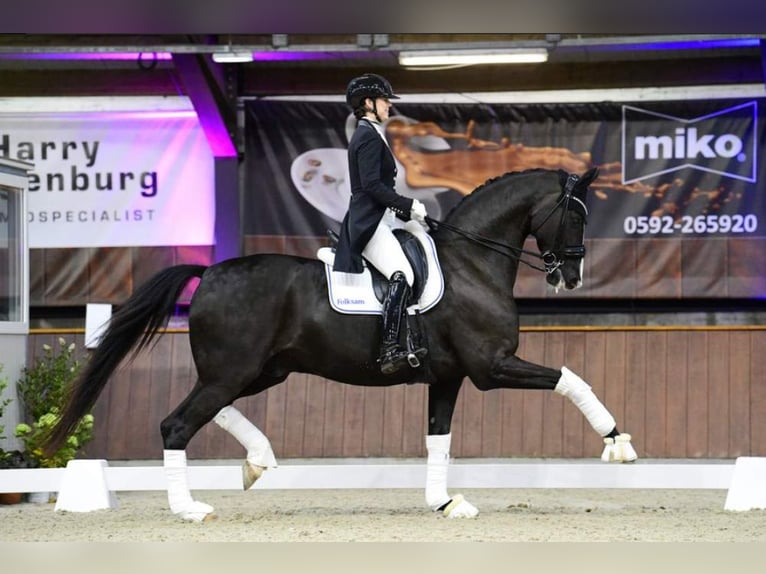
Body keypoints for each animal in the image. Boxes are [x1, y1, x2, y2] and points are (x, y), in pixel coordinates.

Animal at [45, 166, 640, 520]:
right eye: (576, 213)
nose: (572, 278)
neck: (472, 263)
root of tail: (210, 271)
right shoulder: (492, 367)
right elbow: (571, 378)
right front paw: (618, 443)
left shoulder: (450, 377)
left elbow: (438, 441)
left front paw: (445, 501)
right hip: (236, 370)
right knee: (178, 423)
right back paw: (191, 508)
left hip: (260, 370)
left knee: (210, 410)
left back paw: (257, 461)